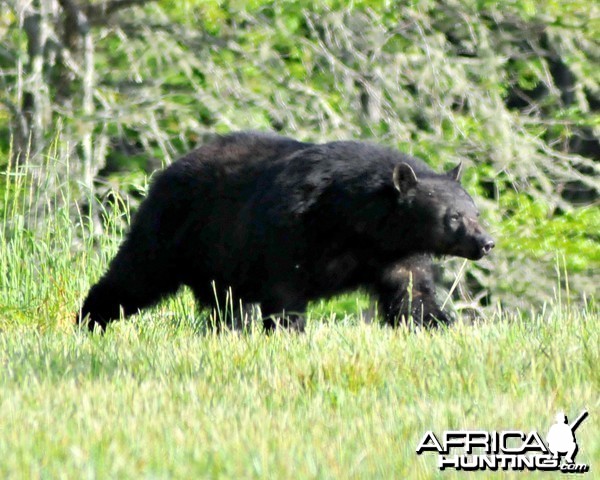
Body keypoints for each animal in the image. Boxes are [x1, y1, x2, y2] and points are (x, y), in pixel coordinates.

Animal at [78, 133, 492, 332]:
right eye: (454, 217)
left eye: (476, 212)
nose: (486, 243)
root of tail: (170, 168)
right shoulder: (290, 231)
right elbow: (284, 290)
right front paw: (289, 331)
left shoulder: (397, 256)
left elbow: (412, 297)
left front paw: (441, 325)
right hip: (174, 228)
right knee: (137, 273)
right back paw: (90, 319)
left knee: (225, 305)